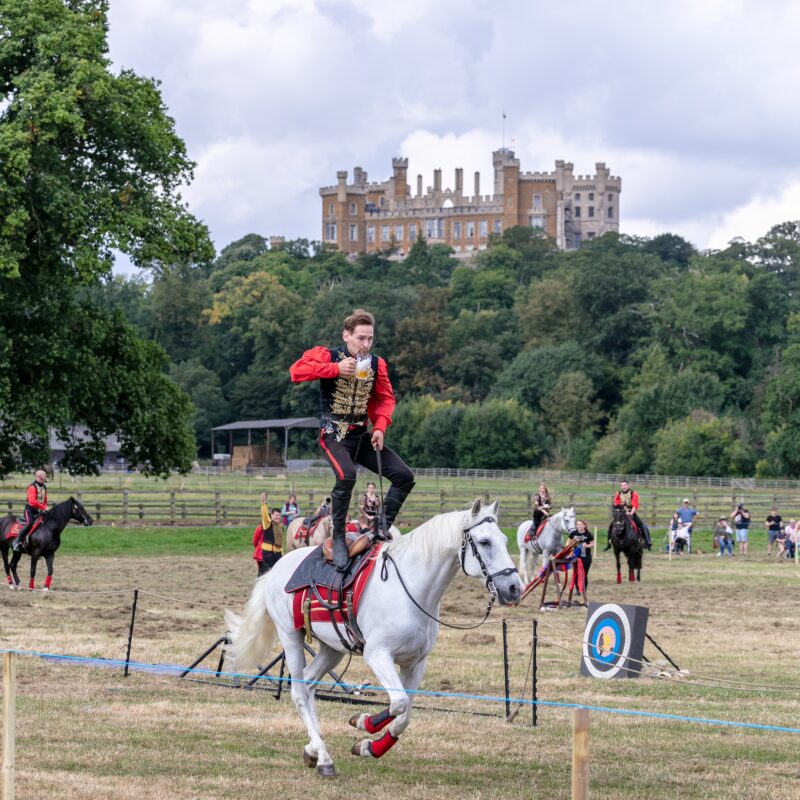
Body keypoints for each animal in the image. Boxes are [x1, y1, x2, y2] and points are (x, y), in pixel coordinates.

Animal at [225, 496, 524, 780]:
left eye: (504, 540)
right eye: (484, 541)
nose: (514, 588)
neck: (411, 588)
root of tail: (277, 568)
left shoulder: (416, 662)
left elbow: (405, 714)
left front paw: (368, 746)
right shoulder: (378, 655)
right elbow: (399, 702)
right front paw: (363, 722)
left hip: (333, 649)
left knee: (309, 684)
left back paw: (313, 750)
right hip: (291, 637)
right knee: (299, 691)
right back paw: (324, 759)